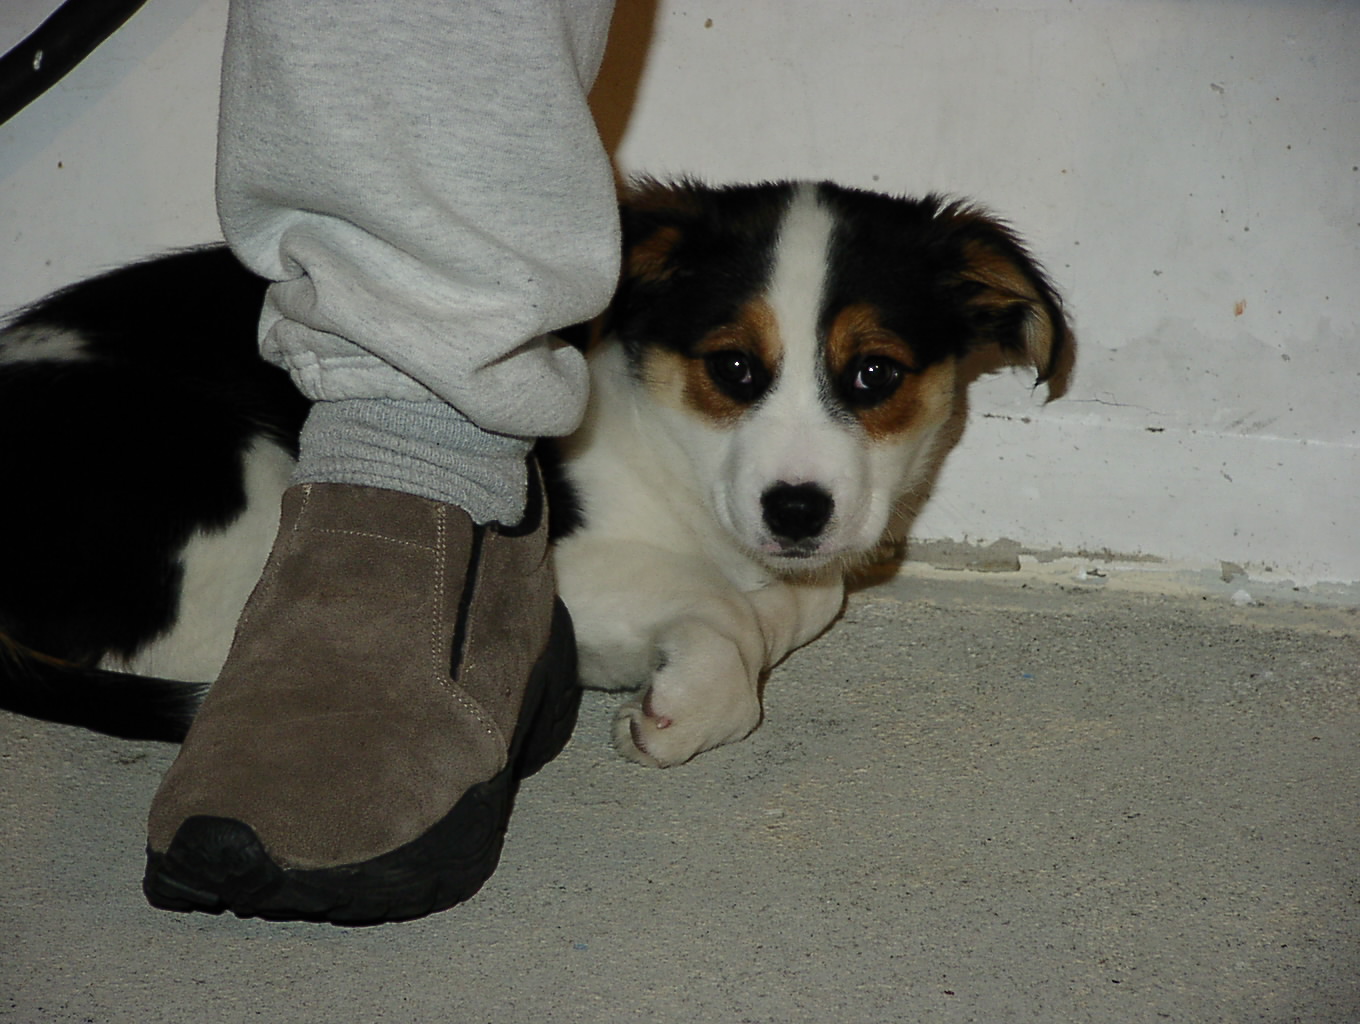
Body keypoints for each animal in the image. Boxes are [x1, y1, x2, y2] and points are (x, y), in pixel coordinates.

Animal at [0, 179, 1069, 767]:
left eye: (876, 374)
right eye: (733, 368)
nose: (798, 511)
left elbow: (809, 600)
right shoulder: (556, 553)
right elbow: (721, 614)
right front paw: (684, 705)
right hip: (252, 482)